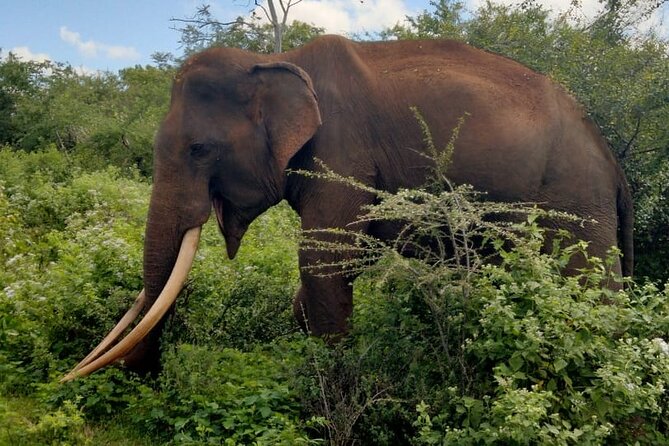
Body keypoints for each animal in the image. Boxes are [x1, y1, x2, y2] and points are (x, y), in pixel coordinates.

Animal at [61, 36, 632, 382]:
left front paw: (329, 380)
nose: (145, 375)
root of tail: (613, 162)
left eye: (200, 149)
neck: (274, 59)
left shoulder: (342, 150)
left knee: (588, 286)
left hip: (574, 197)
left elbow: (324, 260)